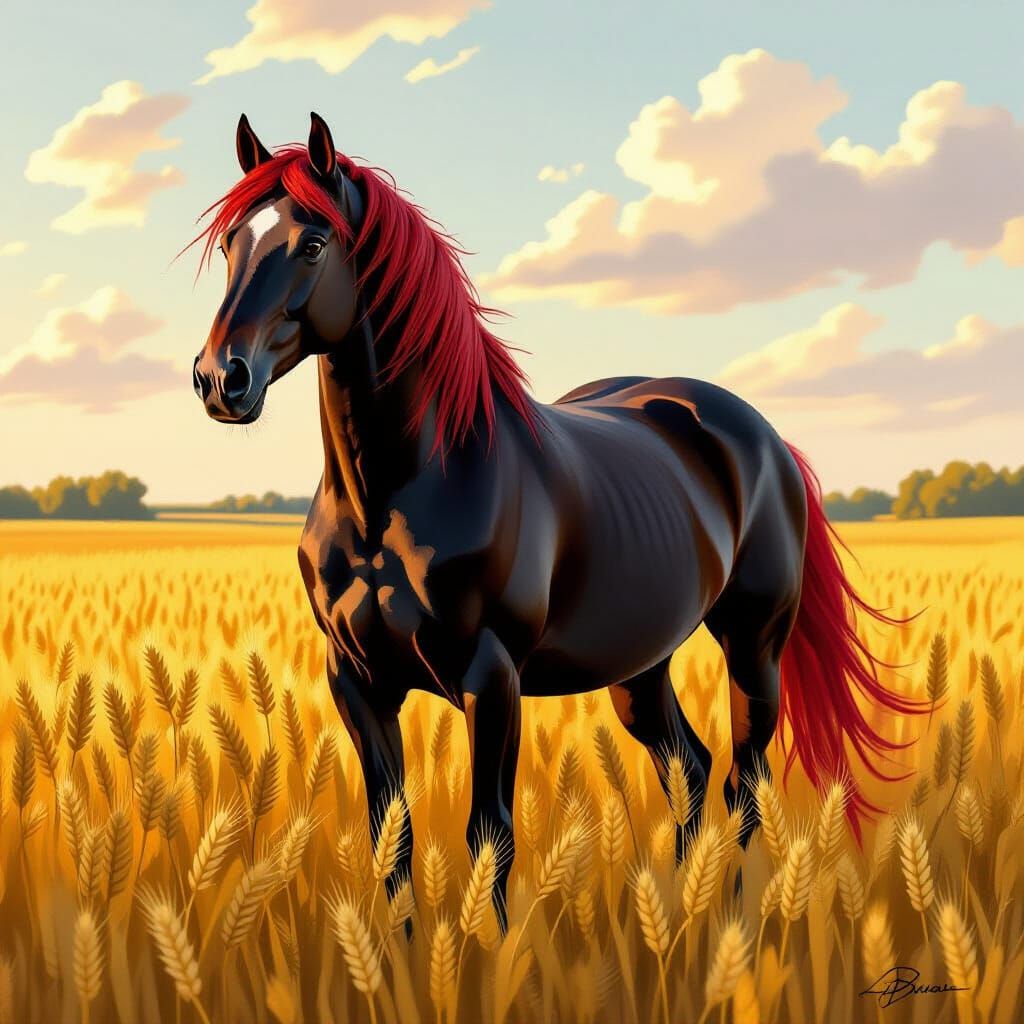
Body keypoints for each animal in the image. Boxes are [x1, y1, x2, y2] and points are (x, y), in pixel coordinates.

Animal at [191, 112, 918, 929]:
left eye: (313, 243)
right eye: (232, 243)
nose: (220, 379)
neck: (394, 495)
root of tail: (760, 434)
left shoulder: (491, 677)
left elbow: (490, 833)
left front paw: (488, 947)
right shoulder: (357, 680)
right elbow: (391, 837)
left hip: (753, 647)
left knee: (743, 784)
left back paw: (724, 921)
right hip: (640, 665)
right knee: (692, 771)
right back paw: (685, 915)